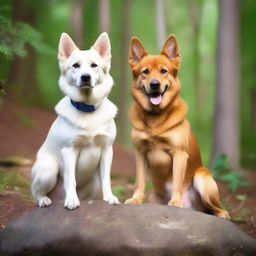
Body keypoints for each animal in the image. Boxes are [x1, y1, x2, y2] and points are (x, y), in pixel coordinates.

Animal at [31, 32, 119, 209]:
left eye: (94, 65)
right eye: (76, 65)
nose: (86, 77)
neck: (87, 108)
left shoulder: (107, 150)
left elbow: (107, 179)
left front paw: (109, 198)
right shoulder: (69, 150)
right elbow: (70, 180)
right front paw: (72, 200)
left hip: (94, 182)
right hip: (48, 169)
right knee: (36, 194)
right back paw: (46, 200)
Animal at [125, 33, 230, 218]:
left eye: (163, 71)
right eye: (145, 71)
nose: (154, 84)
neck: (156, 117)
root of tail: (194, 208)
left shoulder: (179, 154)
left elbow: (176, 182)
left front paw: (175, 201)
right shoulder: (140, 153)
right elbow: (139, 181)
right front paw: (136, 198)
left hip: (202, 179)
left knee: (216, 207)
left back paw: (221, 213)